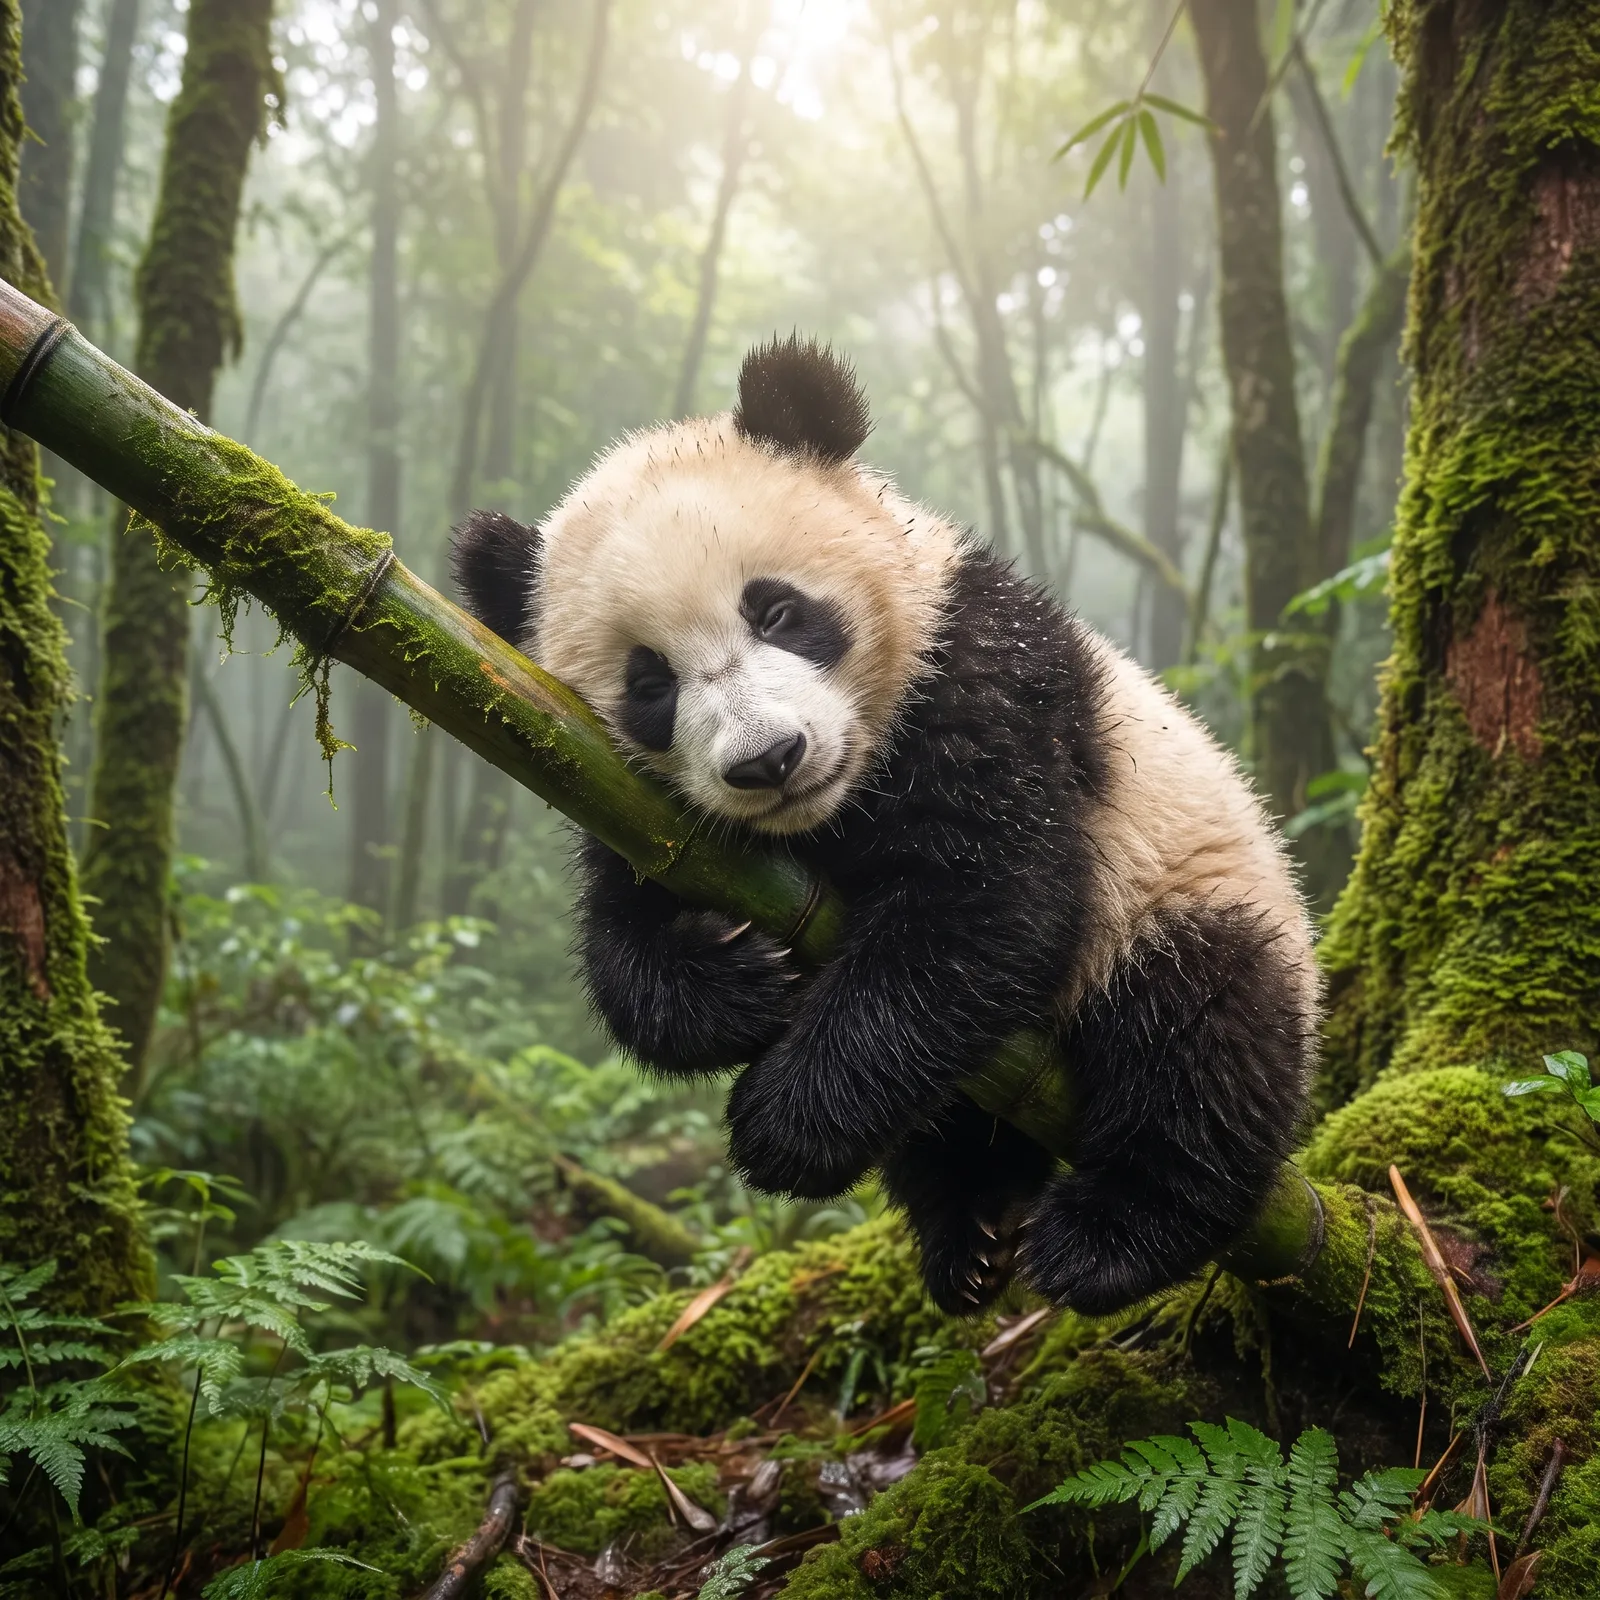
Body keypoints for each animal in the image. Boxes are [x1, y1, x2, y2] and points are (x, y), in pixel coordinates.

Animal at [451, 335, 1319, 1317]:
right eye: (649, 684)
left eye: (777, 611)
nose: (769, 760)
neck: (837, 808)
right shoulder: (622, 793)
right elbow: (622, 937)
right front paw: (739, 977)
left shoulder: (984, 679)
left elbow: (982, 908)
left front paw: (782, 1125)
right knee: (947, 1126)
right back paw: (971, 1227)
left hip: (1189, 886)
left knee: (1201, 1040)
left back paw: (1106, 1236)